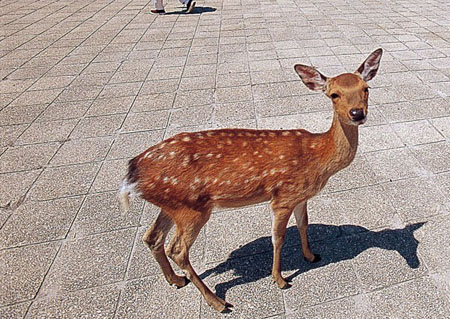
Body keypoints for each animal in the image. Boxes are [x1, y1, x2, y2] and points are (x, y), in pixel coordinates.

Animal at [118, 48, 384, 314]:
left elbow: (303, 224)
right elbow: (278, 238)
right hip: (191, 209)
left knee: (152, 237)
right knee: (178, 250)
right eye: (334, 94)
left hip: (172, 204)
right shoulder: (283, 197)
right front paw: (279, 279)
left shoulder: (301, 196)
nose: (357, 113)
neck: (318, 157)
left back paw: (175, 280)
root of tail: (132, 173)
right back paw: (217, 302)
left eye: (366, 88)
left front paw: (310, 256)